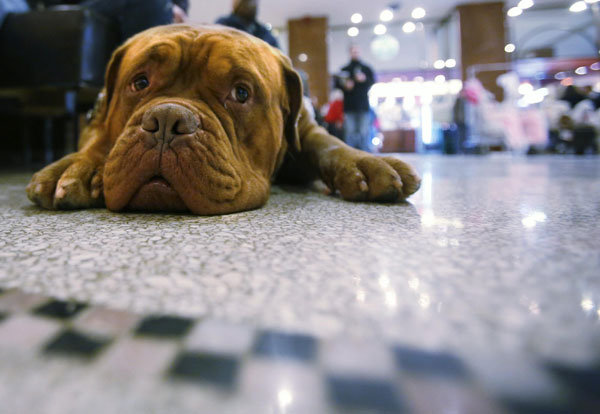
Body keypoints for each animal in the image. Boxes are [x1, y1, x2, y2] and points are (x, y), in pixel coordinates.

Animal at [25, 24, 420, 215]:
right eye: (140, 82)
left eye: (241, 93)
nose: (166, 120)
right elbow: (98, 143)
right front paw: (75, 167)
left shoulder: (306, 130)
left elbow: (330, 145)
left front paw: (365, 162)